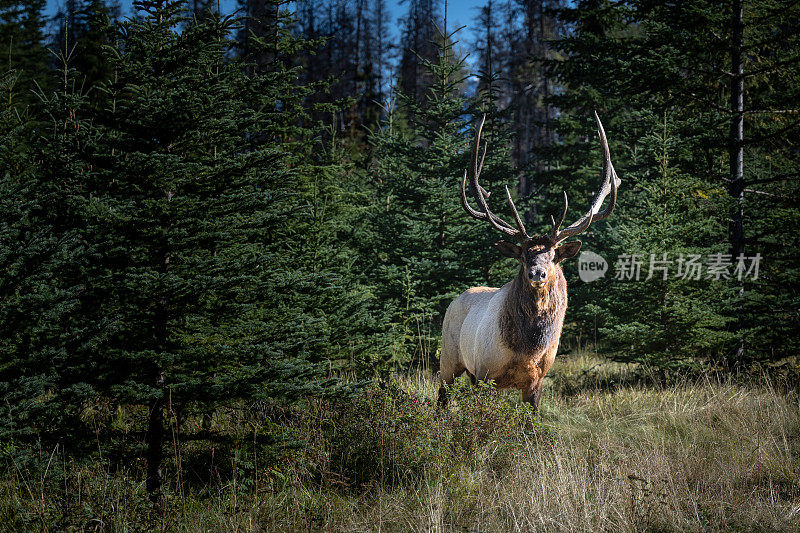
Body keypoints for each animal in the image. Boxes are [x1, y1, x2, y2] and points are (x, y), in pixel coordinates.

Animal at [440, 112, 620, 412]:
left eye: (554, 256)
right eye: (524, 256)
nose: (537, 273)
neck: (526, 349)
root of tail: (456, 298)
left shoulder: (537, 380)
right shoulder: (485, 373)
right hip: (449, 359)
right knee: (441, 397)